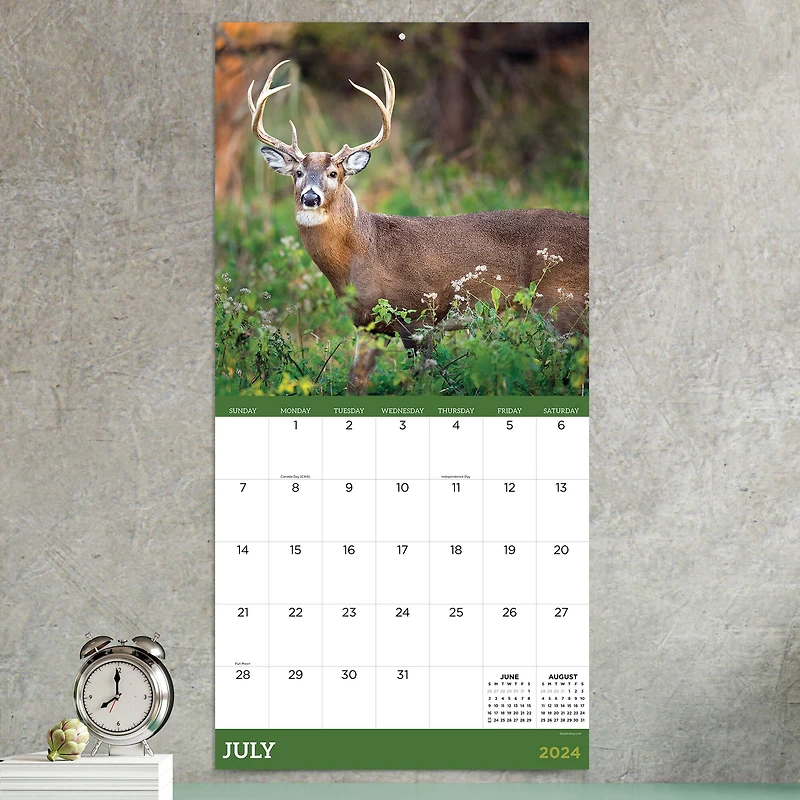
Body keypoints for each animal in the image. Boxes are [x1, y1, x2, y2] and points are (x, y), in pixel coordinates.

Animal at [248, 60, 588, 393]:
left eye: (334, 173)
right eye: (298, 173)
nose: (310, 197)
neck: (362, 251)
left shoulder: (418, 315)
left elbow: (422, 380)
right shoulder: (368, 325)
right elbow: (355, 382)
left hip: (561, 301)